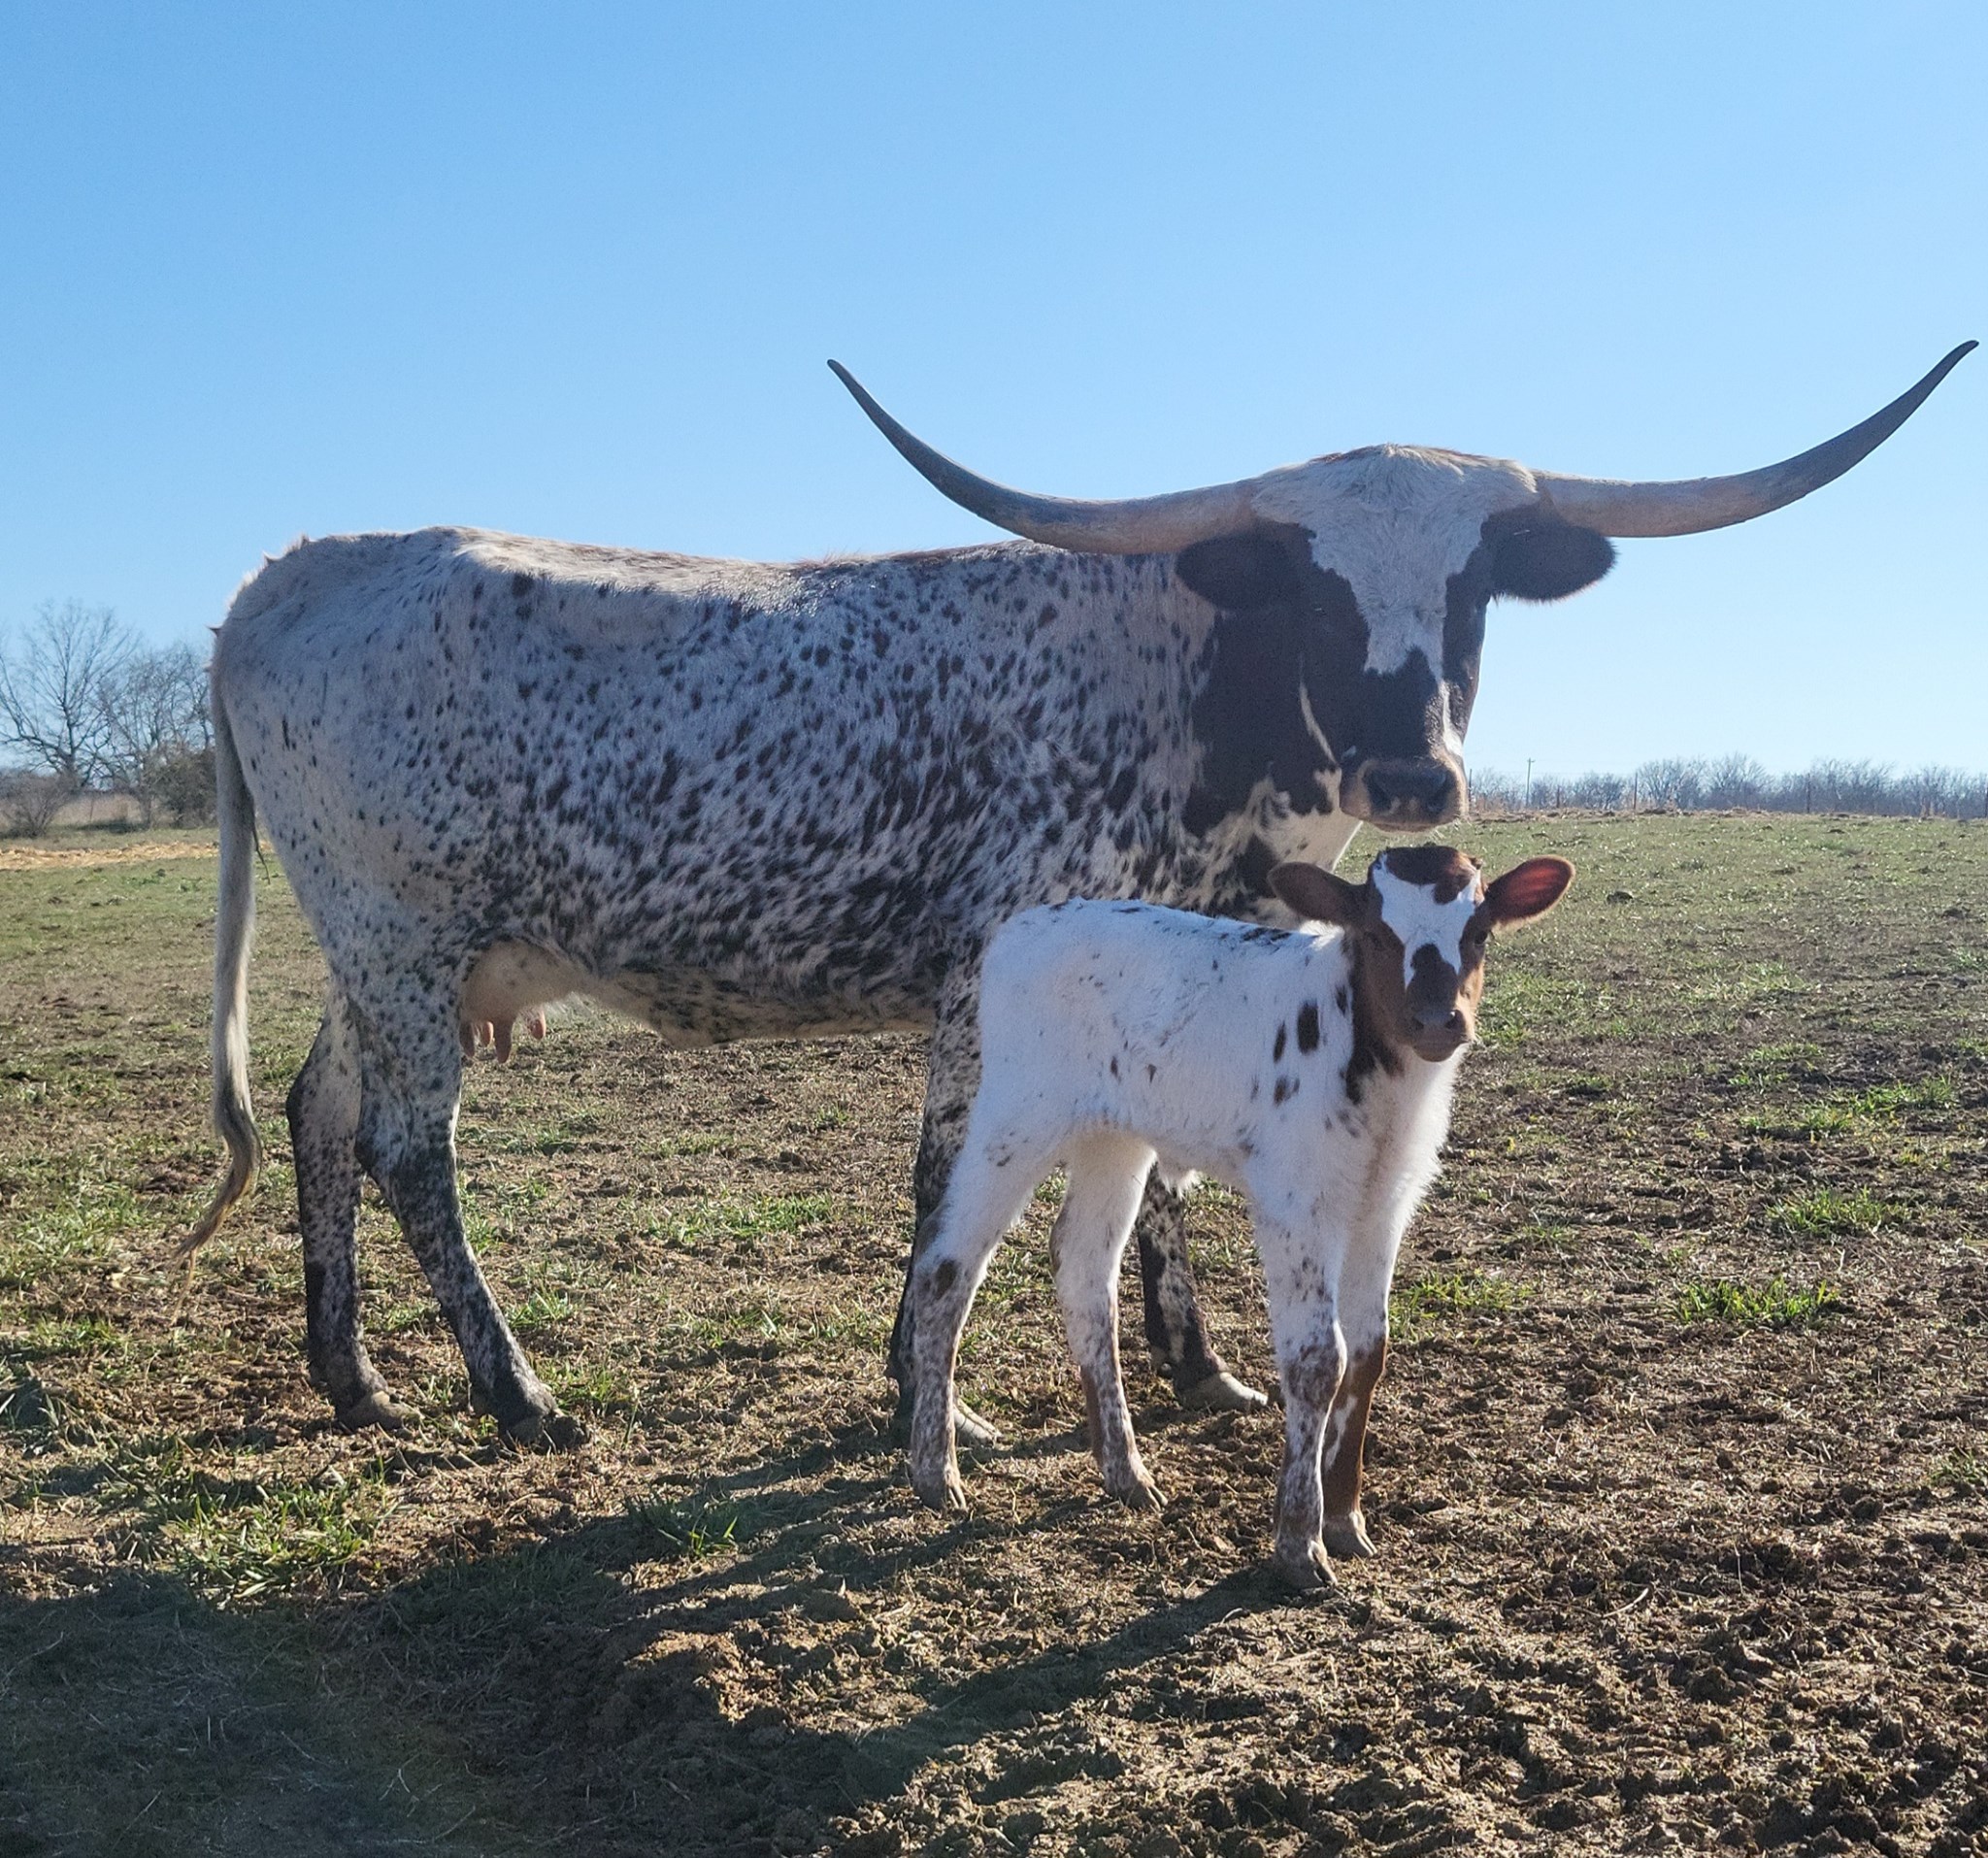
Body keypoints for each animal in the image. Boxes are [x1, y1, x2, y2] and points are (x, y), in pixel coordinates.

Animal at [185, 343, 1971, 1445]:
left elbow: (1166, 1172)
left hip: (389, 954)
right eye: (1312, 583)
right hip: (405, 935)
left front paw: (1201, 1373)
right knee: (409, 1145)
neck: (1191, 688)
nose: (1413, 776)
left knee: (318, 1108)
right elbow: (944, 1181)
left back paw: (348, 1374)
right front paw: (935, 1400)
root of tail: (283, 574)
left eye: (1472, 584)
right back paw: (516, 1393)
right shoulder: (998, 970)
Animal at [901, 847, 1572, 1588]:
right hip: (1017, 1114)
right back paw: (936, 1470)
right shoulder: (1295, 1204)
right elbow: (1318, 1359)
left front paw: (1346, 1521)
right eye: (1376, 934)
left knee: (1083, 1263)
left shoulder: (1384, 1206)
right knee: (947, 1262)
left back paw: (1124, 1471)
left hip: (1114, 1133)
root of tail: (1021, 929)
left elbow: (1369, 1354)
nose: (1434, 1021)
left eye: (1478, 932)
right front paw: (1300, 1542)